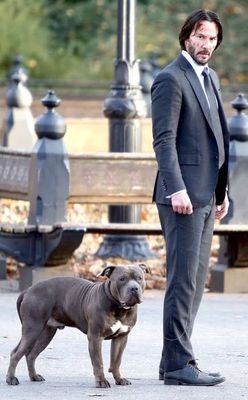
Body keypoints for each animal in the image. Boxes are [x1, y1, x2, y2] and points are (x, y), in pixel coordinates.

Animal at [6, 264, 149, 390]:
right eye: (122, 279)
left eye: (139, 278)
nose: (134, 288)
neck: (119, 308)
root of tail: (28, 290)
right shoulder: (95, 338)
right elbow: (98, 362)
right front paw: (101, 381)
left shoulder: (121, 338)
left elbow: (116, 361)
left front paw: (119, 379)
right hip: (32, 329)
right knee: (15, 353)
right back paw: (11, 379)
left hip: (46, 334)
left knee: (31, 355)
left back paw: (34, 376)